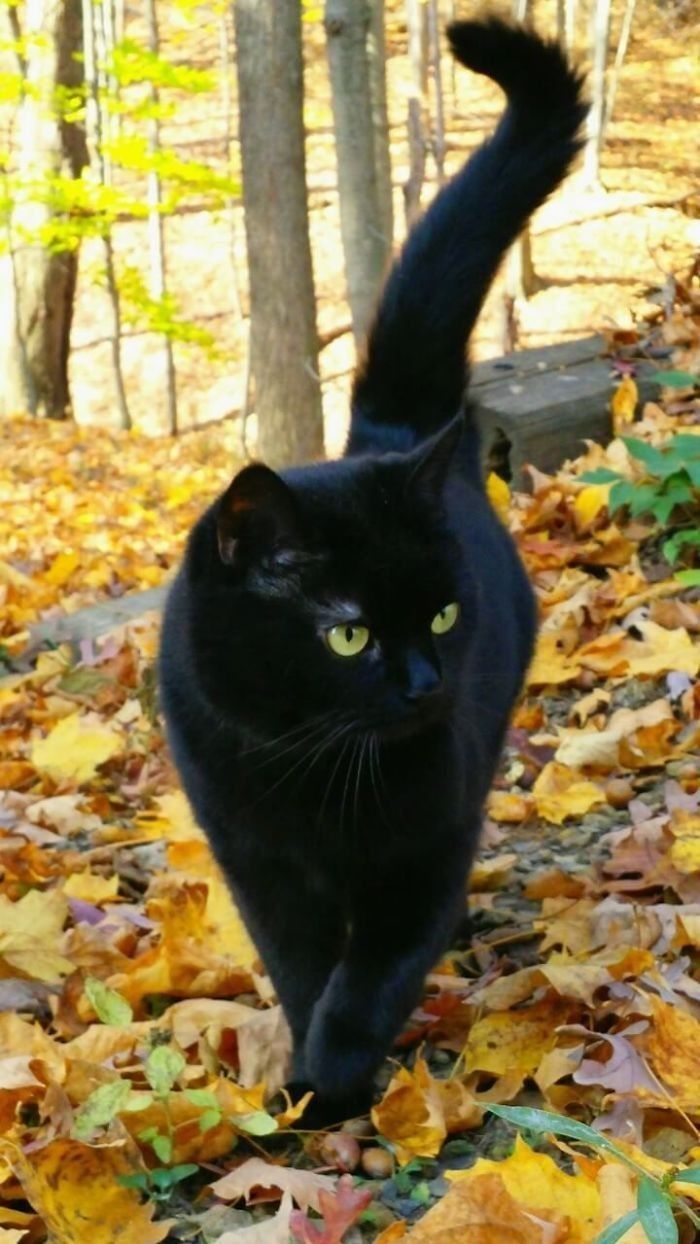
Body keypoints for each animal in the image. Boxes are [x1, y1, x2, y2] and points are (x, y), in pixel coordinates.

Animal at [159, 19, 586, 1129]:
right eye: (347, 630)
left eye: (438, 616)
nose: (425, 685)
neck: (315, 766)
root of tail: (392, 434)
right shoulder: (256, 859)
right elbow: (303, 968)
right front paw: (313, 1087)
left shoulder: (424, 851)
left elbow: (372, 977)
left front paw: (336, 1080)